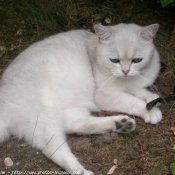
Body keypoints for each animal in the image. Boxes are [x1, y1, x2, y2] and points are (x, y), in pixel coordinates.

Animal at [0, 22, 161, 174]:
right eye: (114, 60)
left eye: (137, 60)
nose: (125, 71)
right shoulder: (103, 95)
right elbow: (132, 101)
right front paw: (149, 110)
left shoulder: (136, 85)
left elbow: (142, 93)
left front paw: (153, 99)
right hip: (46, 117)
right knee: (53, 148)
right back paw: (82, 171)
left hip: (70, 110)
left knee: (77, 125)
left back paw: (120, 124)